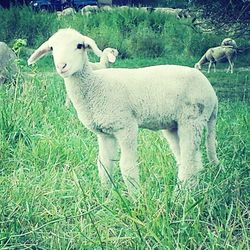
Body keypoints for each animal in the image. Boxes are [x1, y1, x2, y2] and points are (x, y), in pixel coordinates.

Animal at [27, 28, 219, 197]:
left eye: (79, 45)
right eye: (52, 48)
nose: (62, 66)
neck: (95, 86)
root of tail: (212, 92)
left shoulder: (126, 126)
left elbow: (127, 166)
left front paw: (135, 199)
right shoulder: (105, 133)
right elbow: (104, 164)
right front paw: (105, 197)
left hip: (193, 119)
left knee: (189, 161)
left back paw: (179, 197)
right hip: (173, 125)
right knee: (191, 160)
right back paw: (191, 191)